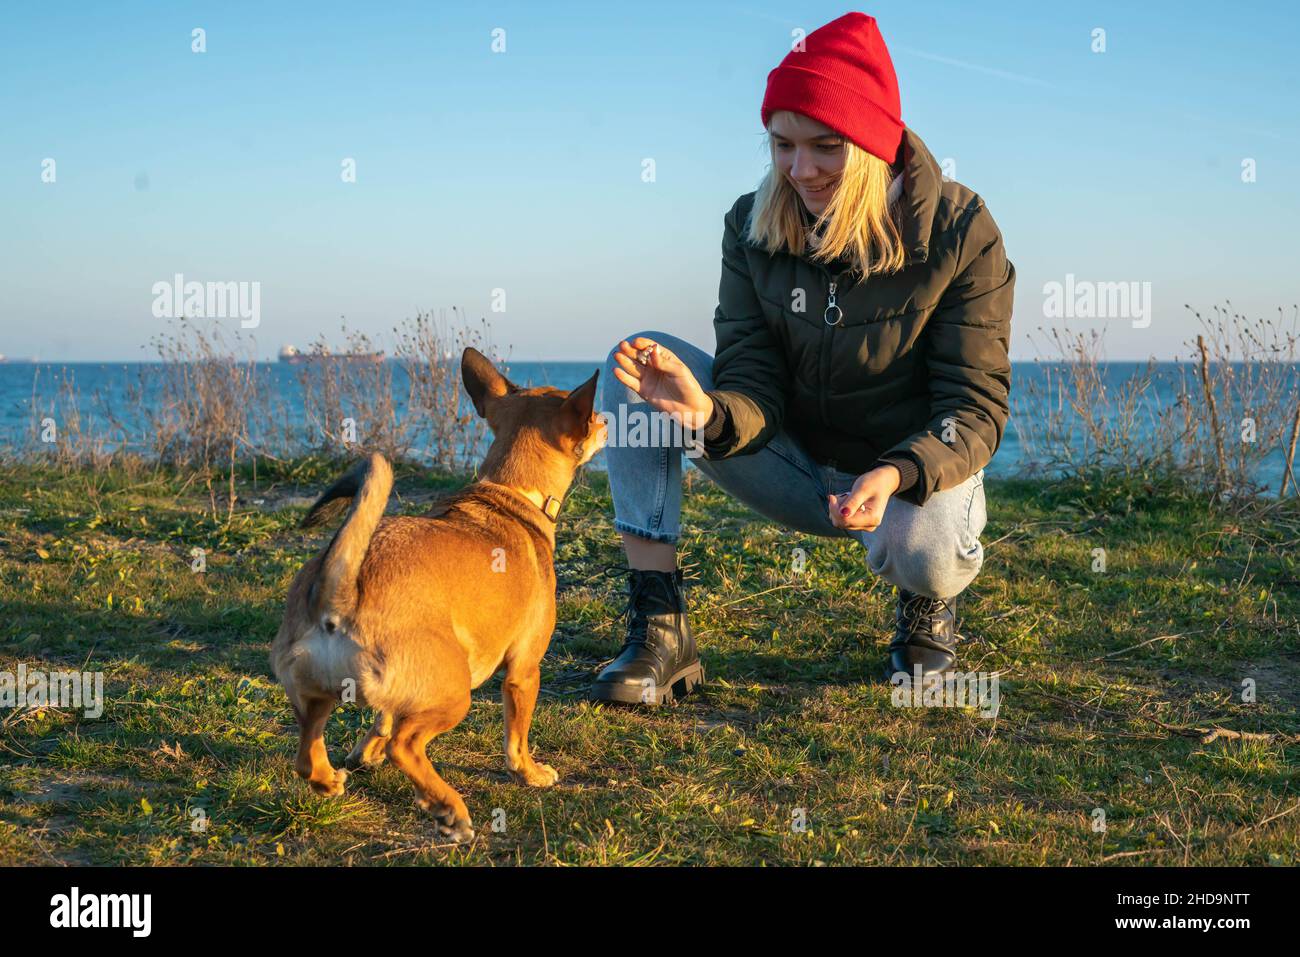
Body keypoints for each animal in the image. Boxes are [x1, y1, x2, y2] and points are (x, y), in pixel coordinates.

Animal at [271, 348, 605, 842]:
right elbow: (516, 736)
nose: (606, 420)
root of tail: (341, 594)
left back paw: (330, 779)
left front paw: (365, 752)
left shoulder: (395, 699)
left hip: (315, 695)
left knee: (307, 755)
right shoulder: (524, 671)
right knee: (406, 747)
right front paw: (529, 772)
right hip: (455, 692)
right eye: (592, 416)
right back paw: (447, 807)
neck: (510, 491)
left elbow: (383, 719)